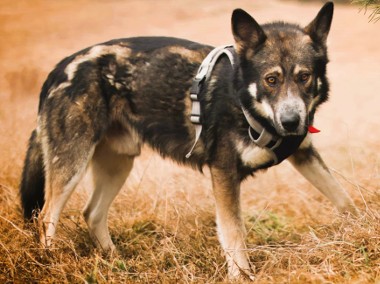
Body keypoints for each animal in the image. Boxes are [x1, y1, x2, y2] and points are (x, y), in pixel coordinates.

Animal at [20, 2, 356, 280]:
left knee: (92, 214)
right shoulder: (223, 173)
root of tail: (60, 67)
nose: (291, 122)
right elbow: (234, 231)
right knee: (46, 217)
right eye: (270, 80)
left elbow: (344, 199)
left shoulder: (304, 153)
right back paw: (50, 262)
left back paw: (114, 260)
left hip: (118, 165)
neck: (243, 99)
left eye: (304, 77)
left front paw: (360, 230)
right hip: (72, 164)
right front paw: (241, 274)